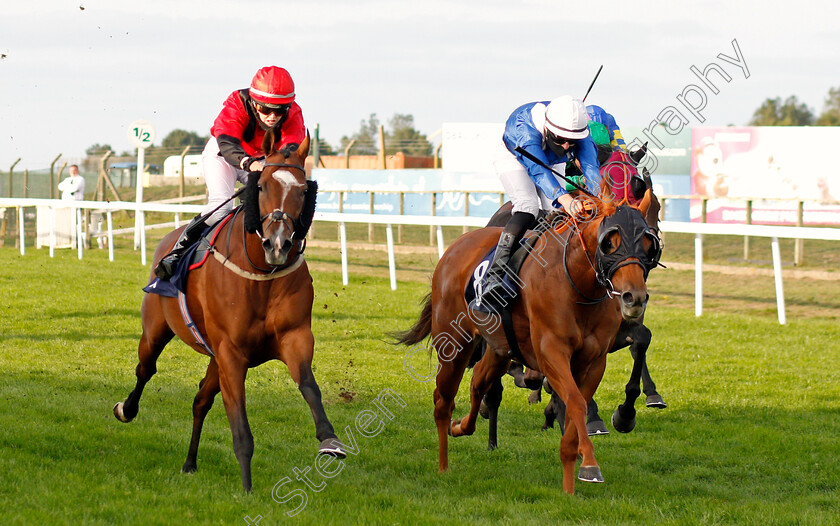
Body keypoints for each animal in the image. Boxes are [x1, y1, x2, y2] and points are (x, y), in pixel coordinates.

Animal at [115, 132, 344, 496]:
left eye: (302, 190)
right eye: (261, 186)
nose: (278, 244)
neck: (262, 273)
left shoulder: (293, 337)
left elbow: (309, 385)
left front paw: (329, 439)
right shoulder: (232, 353)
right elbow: (240, 424)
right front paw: (248, 489)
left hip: (213, 357)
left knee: (200, 400)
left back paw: (190, 463)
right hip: (156, 330)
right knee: (146, 368)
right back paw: (127, 409)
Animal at [398, 192, 660, 498]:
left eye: (648, 243)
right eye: (610, 242)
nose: (634, 297)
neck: (579, 285)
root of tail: (457, 246)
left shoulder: (594, 361)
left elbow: (577, 406)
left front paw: (571, 479)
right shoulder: (551, 353)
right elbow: (575, 402)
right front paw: (590, 464)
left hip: (498, 349)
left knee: (478, 383)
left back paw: (461, 426)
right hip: (454, 344)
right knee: (443, 401)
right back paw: (443, 465)